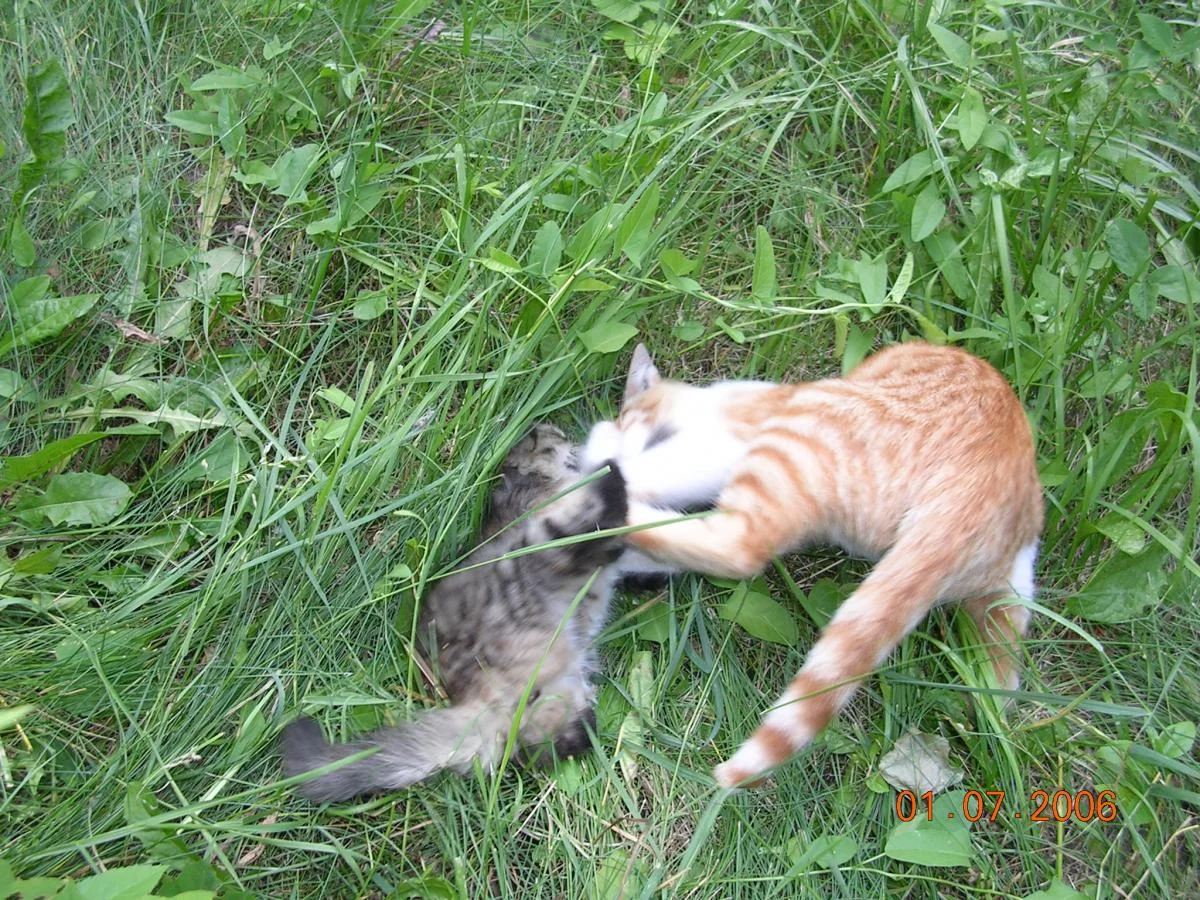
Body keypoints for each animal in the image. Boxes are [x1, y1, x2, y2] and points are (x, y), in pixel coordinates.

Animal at [281, 424, 634, 802]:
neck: (526, 487)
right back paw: (614, 478)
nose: (551, 428)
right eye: (549, 439)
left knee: (544, 744)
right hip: (541, 560)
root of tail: (473, 696)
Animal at [583, 342, 1043, 788]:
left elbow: (651, 474)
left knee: (739, 548)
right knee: (1003, 676)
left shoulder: (721, 442)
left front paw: (596, 460)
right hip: (1011, 590)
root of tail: (977, 493)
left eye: (631, 416)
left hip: (797, 439)